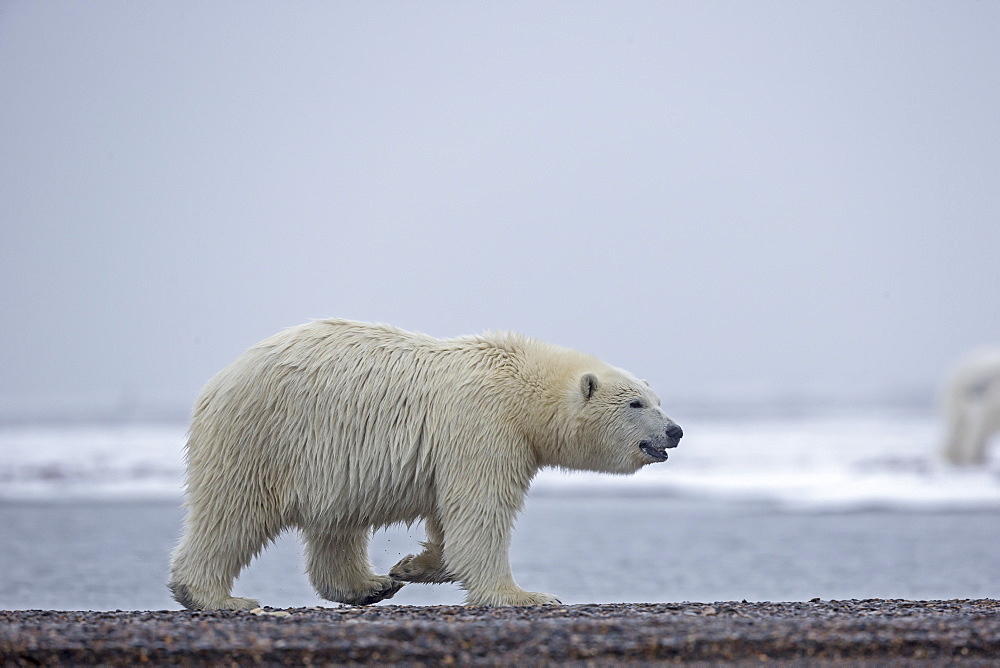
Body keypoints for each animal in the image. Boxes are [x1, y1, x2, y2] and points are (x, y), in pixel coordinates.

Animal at [166, 320, 680, 612]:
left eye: (656, 399)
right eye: (636, 403)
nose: (674, 431)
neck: (522, 386)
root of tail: (220, 380)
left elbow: (447, 518)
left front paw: (412, 565)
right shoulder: (483, 426)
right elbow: (480, 510)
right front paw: (524, 595)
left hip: (326, 460)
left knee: (336, 523)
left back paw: (369, 585)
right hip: (266, 436)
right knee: (233, 512)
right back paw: (216, 597)